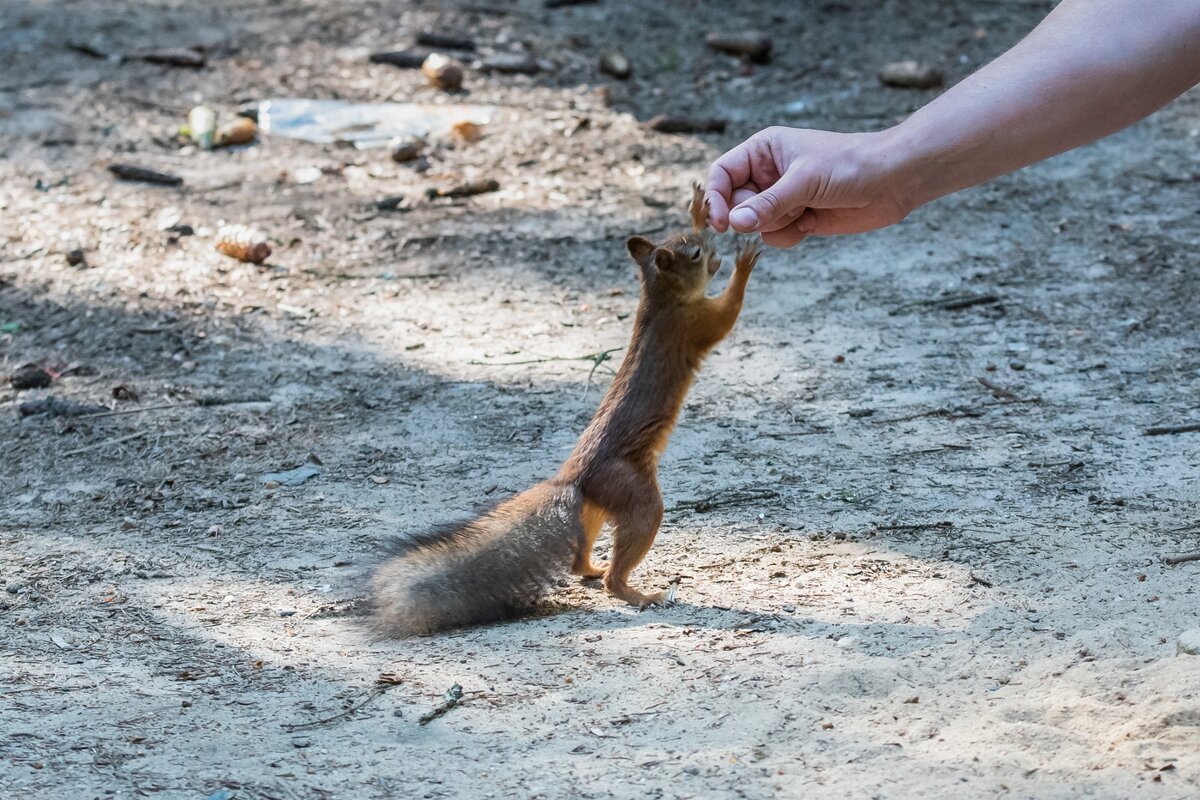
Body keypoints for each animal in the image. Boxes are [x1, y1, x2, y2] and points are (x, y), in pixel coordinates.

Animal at [369, 184, 758, 633]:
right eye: (694, 255)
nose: (716, 254)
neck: (659, 298)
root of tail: (575, 479)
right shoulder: (693, 326)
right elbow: (727, 315)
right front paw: (745, 261)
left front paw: (698, 206)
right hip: (635, 494)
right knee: (618, 572)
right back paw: (641, 594)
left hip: (595, 509)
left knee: (578, 556)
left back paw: (591, 568)